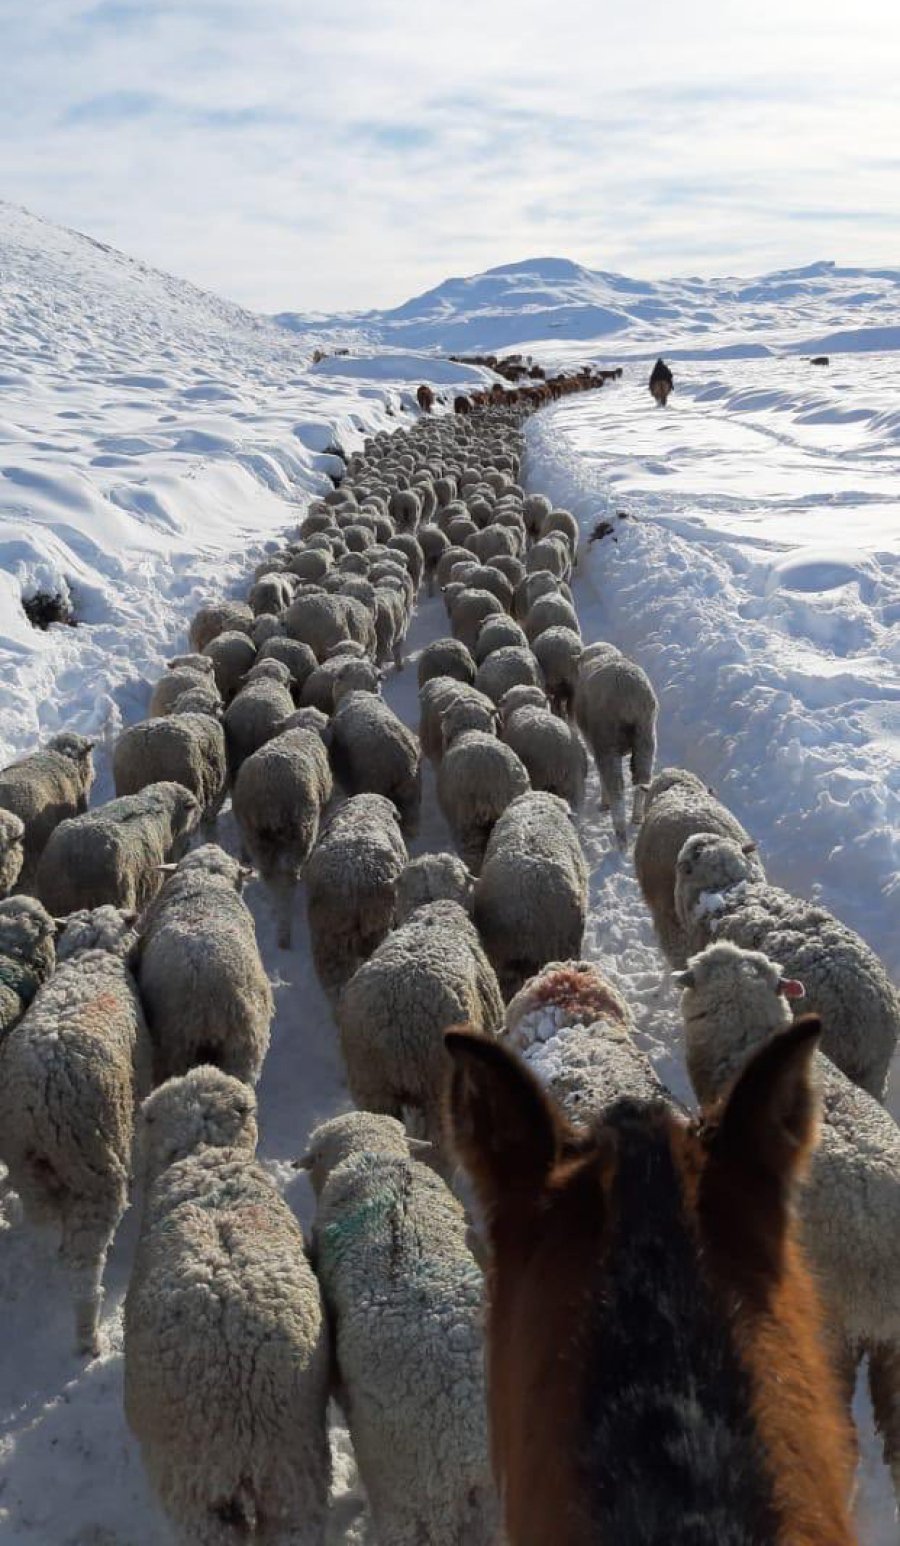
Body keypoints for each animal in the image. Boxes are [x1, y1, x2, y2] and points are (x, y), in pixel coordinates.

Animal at [574, 644, 658, 845]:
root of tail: (627, 694)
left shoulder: (594, 743)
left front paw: (604, 804)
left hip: (607, 739)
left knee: (616, 786)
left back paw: (619, 831)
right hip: (646, 736)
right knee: (642, 779)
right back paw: (637, 817)